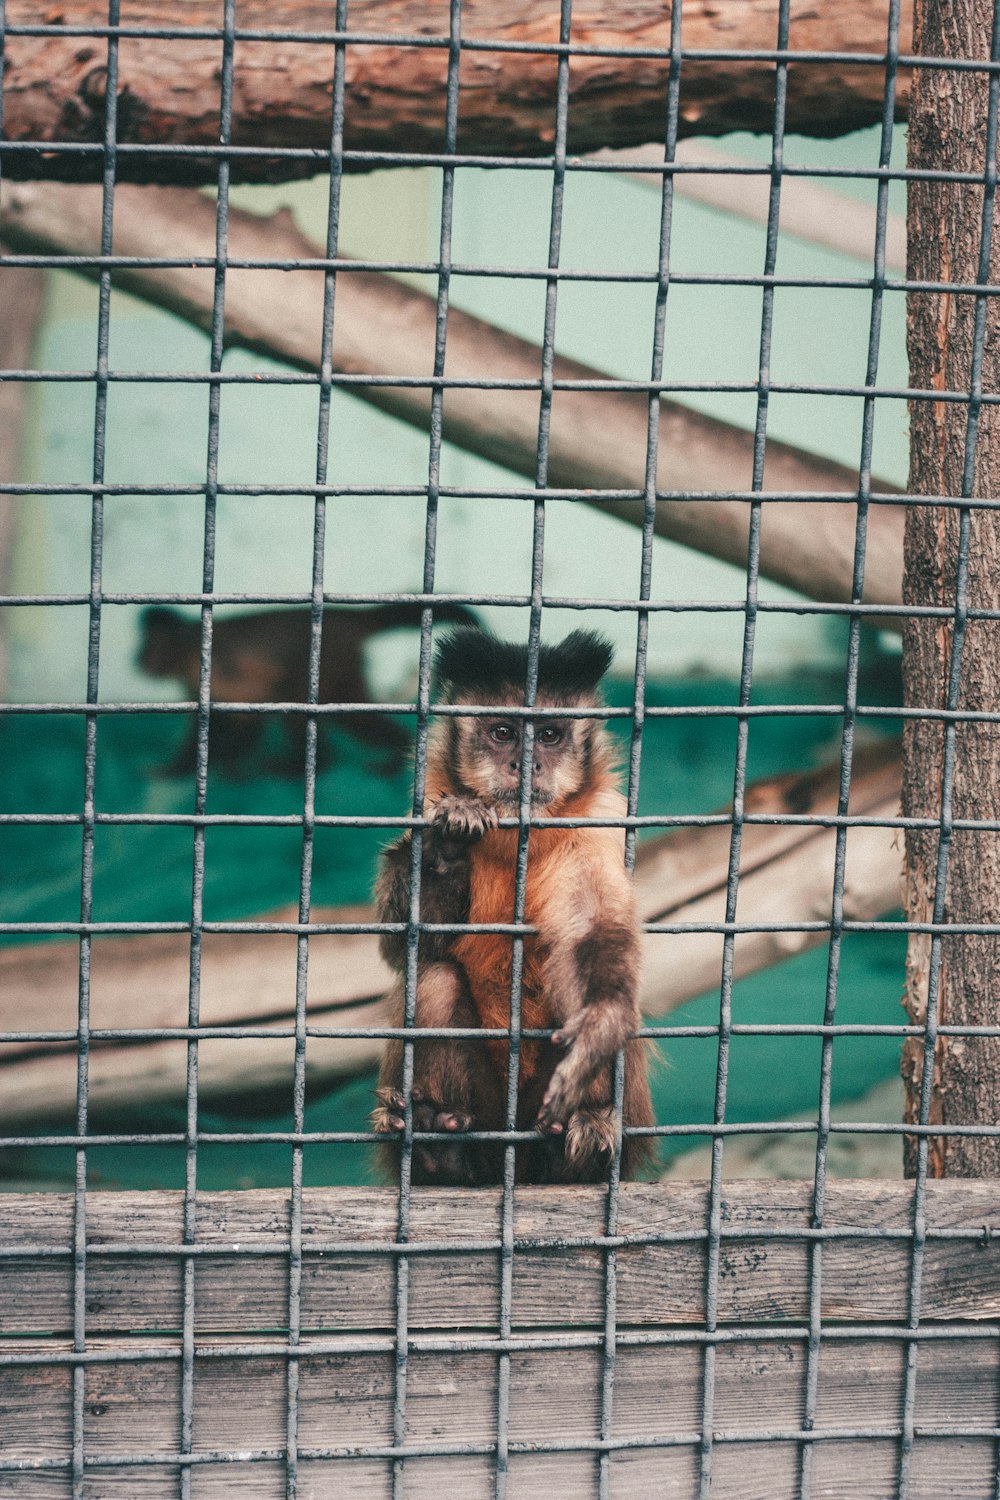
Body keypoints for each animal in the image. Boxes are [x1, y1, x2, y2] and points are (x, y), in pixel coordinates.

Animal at [135, 603, 476, 780]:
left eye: (146, 648)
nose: (136, 660)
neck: (189, 648)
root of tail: (347, 617)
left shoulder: (217, 667)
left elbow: (246, 715)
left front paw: (222, 763)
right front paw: (204, 765)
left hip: (328, 660)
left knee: (298, 709)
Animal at [371, 630, 653, 1182]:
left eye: (549, 736)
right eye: (503, 732)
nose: (526, 764)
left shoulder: (594, 827)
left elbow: (595, 932)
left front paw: (600, 1024)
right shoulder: (425, 803)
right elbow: (406, 951)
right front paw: (447, 847)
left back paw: (580, 1142)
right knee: (436, 980)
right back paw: (440, 1146)